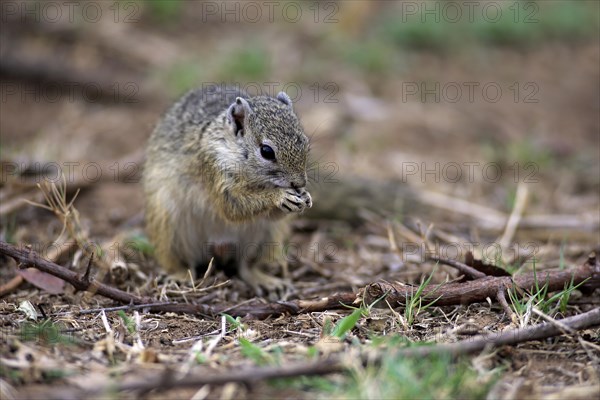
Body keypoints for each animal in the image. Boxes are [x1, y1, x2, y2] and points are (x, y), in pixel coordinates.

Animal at [142, 86, 312, 296]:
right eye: (266, 151)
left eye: (305, 142)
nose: (299, 183)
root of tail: (218, 249)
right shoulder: (214, 169)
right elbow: (232, 207)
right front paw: (279, 196)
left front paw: (305, 197)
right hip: (171, 228)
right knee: (184, 263)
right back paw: (180, 276)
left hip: (264, 238)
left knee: (246, 266)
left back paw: (264, 280)